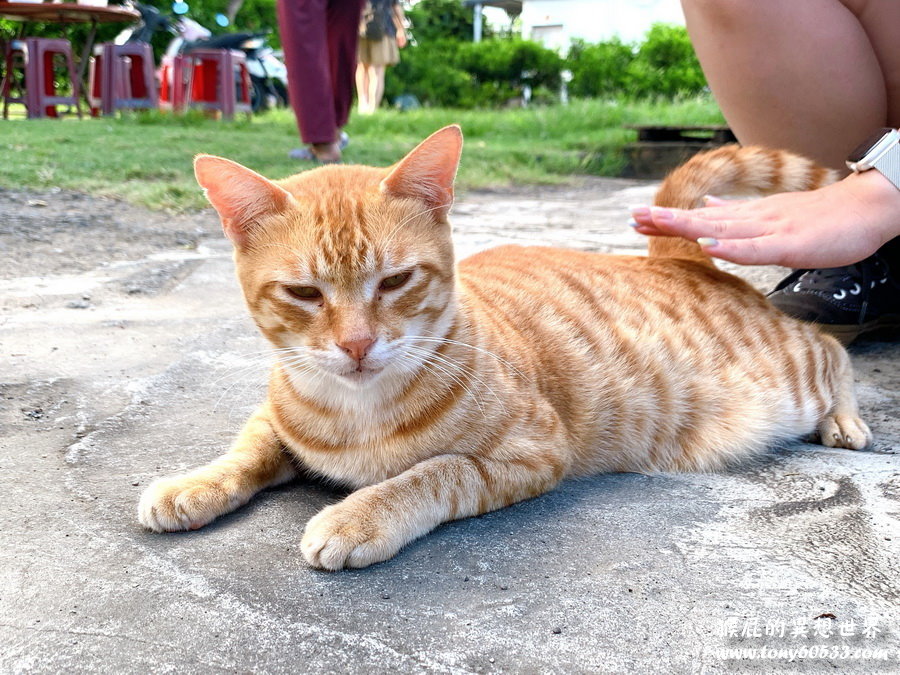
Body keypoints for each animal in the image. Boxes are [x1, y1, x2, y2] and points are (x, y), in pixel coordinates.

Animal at [135, 128, 872, 572]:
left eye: (395, 281)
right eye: (304, 293)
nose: (357, 344)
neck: (357, 410)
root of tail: (678, 257)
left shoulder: (533, 452)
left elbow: (437, 471)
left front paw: (358, 514)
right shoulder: (275, 415)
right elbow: (248, 448)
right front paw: (191, 484)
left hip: (787, 376)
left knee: (831, 351)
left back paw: (845, 419)